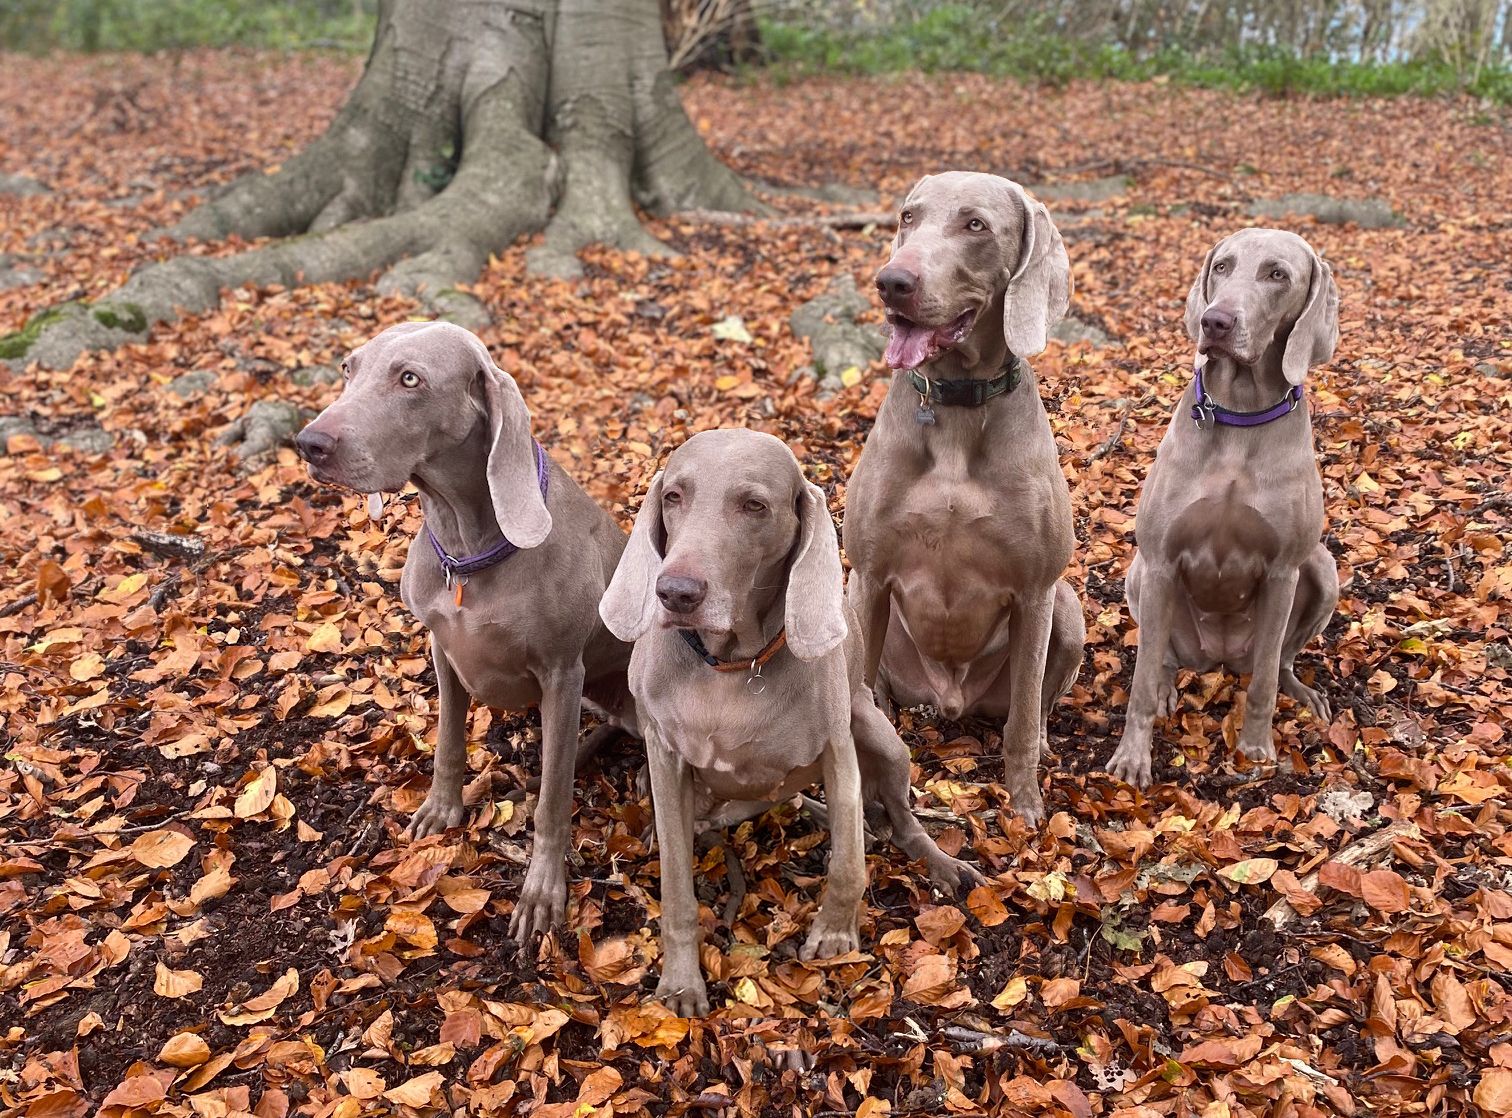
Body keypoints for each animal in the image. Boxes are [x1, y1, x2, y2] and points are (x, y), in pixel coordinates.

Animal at [595, 429, 985, 1022]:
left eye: (755, 506)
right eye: (674, 496)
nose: (676, 593)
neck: (732, 667)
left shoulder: (838, 747)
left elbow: (849, 860)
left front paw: (835, 935)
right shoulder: (665, 755)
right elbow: (676, 887)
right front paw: (682, 983)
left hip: (880, 735)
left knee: (897, 820)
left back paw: (939, 861)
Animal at [840, 170, 1088, 829]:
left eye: (974, 224)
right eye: (908, 216)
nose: (892, 281)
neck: (953, 403)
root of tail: (949, 701)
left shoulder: (1035, 591)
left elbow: (1023, 716)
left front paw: (1025, 803)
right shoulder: (869, 576)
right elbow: (855, 694)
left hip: (1068, 608)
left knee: (1035, 705)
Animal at [1106, 226, 1342, 786]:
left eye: (1277, 274)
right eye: (1222, 266)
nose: (1215, 320)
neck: (1238, 415)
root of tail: (1217, 661)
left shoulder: (1283, 571)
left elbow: (1264, 685)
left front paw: (1256, 749)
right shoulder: (1161, 560)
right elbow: (1141, 681)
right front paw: (1132, 759)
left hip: (1323, 571)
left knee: (1277, 664)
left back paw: (1303, 695)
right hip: (1139, 576)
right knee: (1162, 660)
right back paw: (1167, 688)